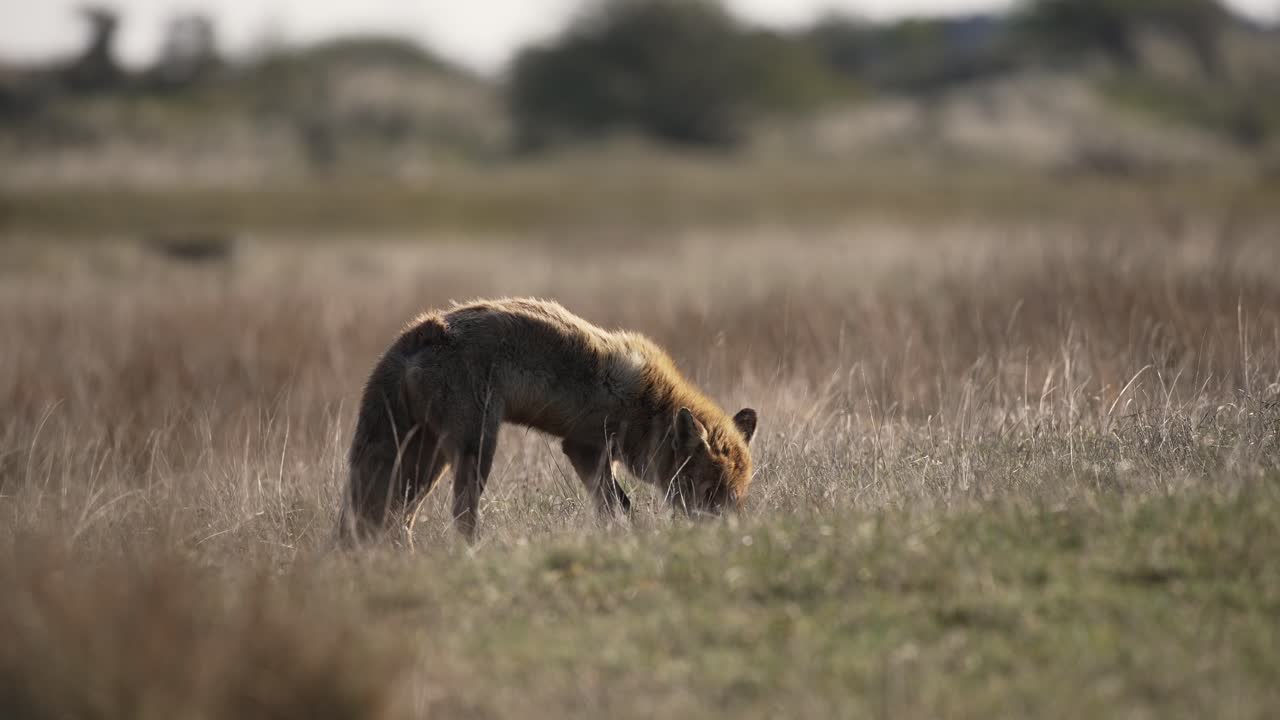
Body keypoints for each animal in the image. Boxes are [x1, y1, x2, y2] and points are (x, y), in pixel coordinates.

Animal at [340, 297, 758, 544]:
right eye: (709, 491)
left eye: (737, 495)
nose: (730, 537)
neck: (649, 405)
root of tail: (418, 331)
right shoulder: (583, 447)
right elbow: (619, 506)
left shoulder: (594, 456)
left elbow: (613, 508)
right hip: (474, 449)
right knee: (458, 516)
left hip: (425, 459)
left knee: (396, 519)